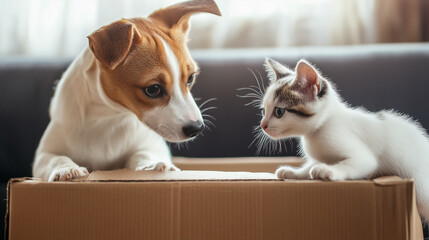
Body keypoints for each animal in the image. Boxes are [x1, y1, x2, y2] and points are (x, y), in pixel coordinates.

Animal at [32, 0, 221, 180]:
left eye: (190, 78)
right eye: (153, 89)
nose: (197, 128)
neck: (110, 117)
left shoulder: (151, 147)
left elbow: (142, 154)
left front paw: (151, 164)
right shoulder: (44, 153)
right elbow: (54, 158)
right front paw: (66, 168)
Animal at [258, 58, 428, 223]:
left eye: (279, 112)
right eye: (263, 111)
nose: (262, 125)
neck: (322, 126)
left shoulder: (362, 156)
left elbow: (352, 164)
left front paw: (328, 170)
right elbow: (310, 165)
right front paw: (295, 172)